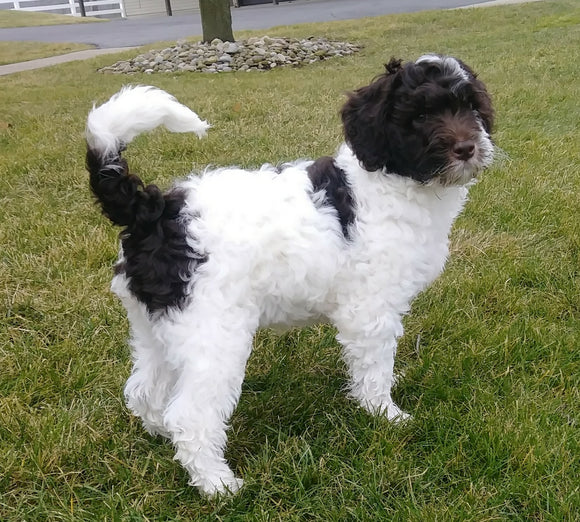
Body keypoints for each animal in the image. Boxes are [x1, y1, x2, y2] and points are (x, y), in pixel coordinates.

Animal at [86, 53, 494, 496]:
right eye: (419, 116)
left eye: (470, 107)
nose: (467, 148)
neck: (392, 179)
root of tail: (154, 211)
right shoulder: (370, 310)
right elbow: (374, 367)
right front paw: (385, 414)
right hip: (212, 334)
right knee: (191, 414)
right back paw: (217, 484)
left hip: (158, 327)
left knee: (143, 389)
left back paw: (163, 436)